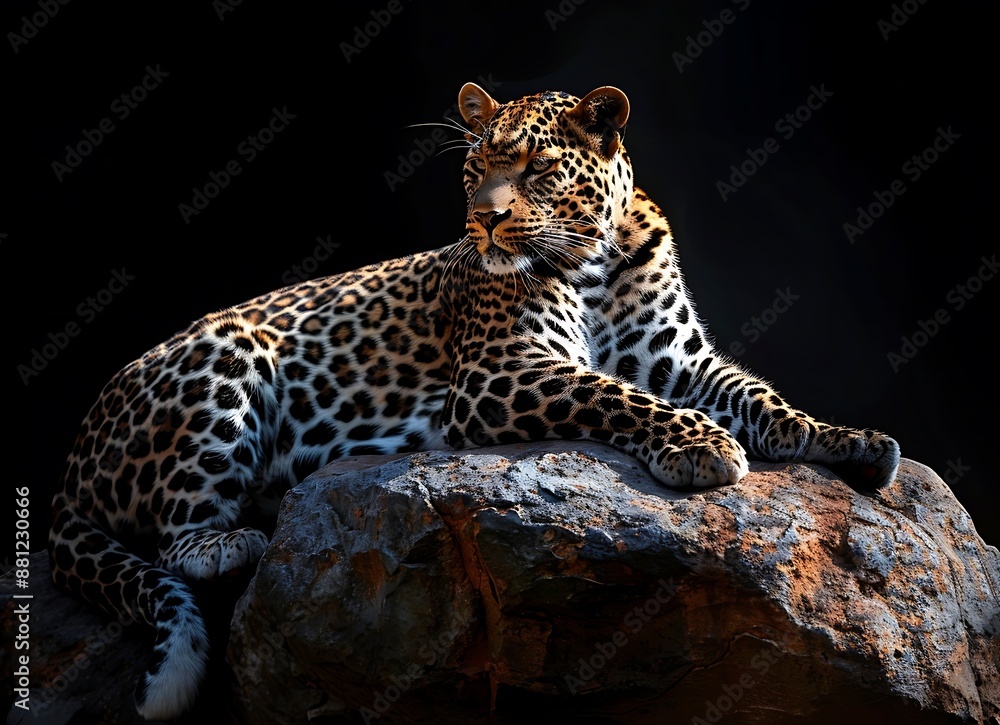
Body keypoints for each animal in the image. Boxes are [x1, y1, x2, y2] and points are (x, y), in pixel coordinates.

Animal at [48, 81, 900, 720]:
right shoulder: (500, 370)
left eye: (535, 166)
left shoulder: (684, 363)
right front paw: (701, 445)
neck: (600, 258)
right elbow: (612, 391)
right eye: (475, 167)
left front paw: (849, 440)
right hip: (225, 351)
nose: (481, 220)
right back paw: (231, 539)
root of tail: (70, 461)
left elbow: (761, 397)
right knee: (175, 541)